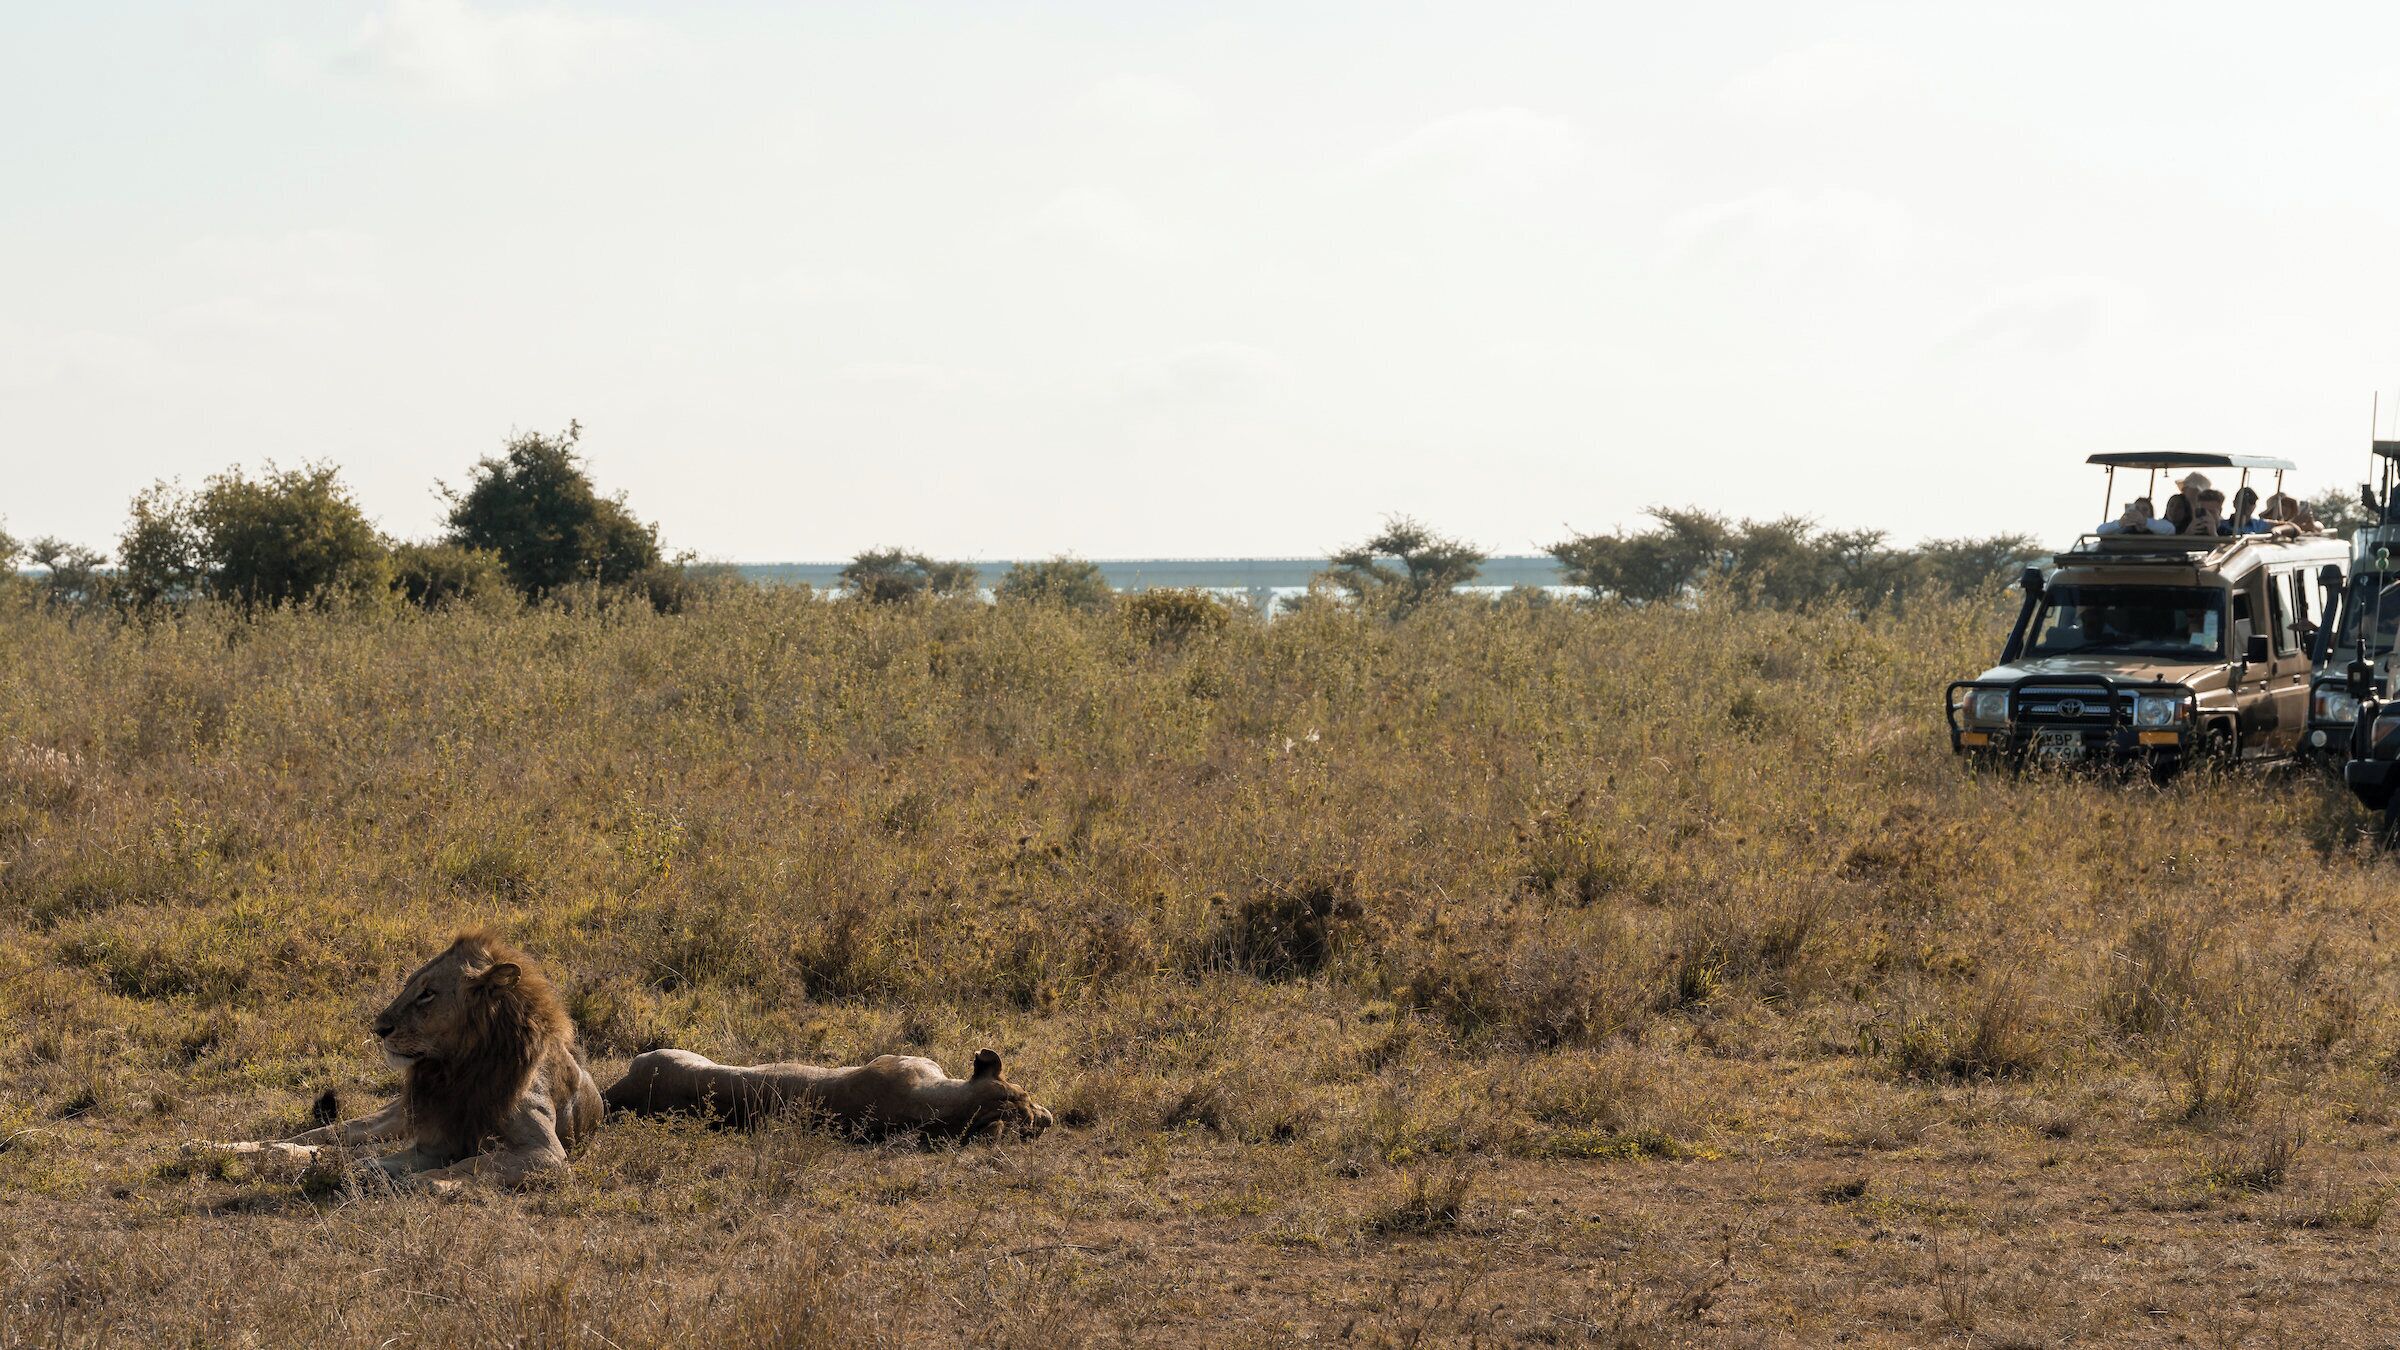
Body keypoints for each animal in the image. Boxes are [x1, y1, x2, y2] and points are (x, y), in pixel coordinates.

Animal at [201, 930, 602, 1191]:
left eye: (427, 994)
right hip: (392, 1115)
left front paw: (407, 1180)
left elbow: (469, 1164)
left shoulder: (545, 1152)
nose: (379, 1028)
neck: (457, 1068)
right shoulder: (435, 1138)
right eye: (409, 986)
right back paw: (212, 1148)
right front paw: (369, 1171)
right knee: (310, 1138)